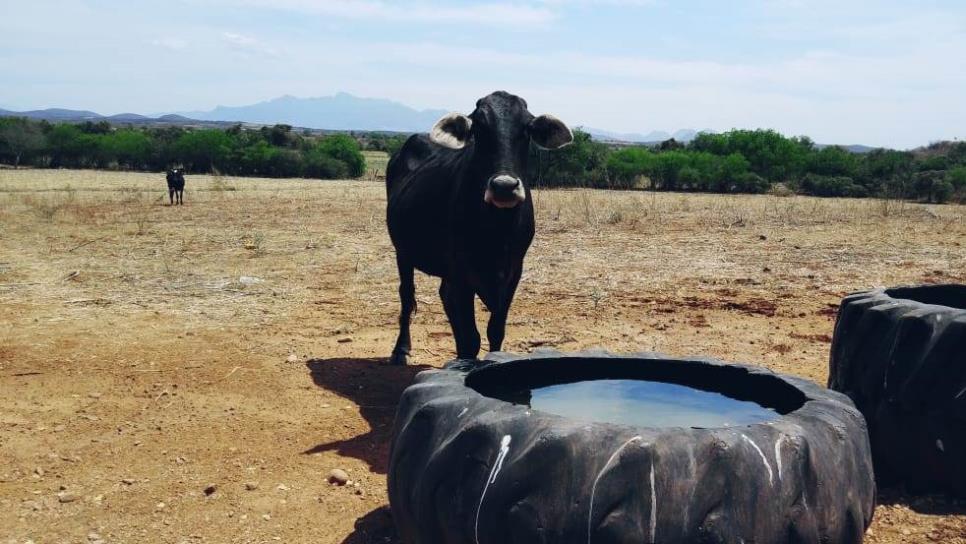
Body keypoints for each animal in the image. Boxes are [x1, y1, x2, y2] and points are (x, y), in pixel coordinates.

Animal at [386, 91, 576, 366]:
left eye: (526, 129)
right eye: (479, 128)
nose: (504, 187)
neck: (498, 230)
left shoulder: (513, 273)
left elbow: (495, 329)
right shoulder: (461, 274)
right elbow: (470, 337)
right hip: (403, 252)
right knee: (407, 296)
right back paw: (401, 350)